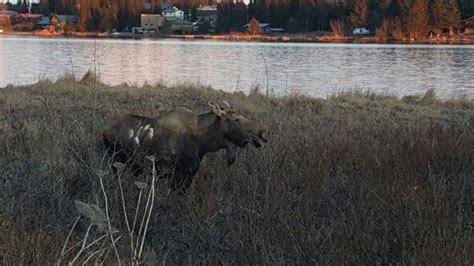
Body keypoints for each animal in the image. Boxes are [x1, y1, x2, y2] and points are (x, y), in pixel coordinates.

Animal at [102, 100, 268, 191]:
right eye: (236, 119)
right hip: (116, 163)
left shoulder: (188, 175)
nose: (262, 132)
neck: (203, 143)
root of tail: (104, 131)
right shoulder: (177, 176)